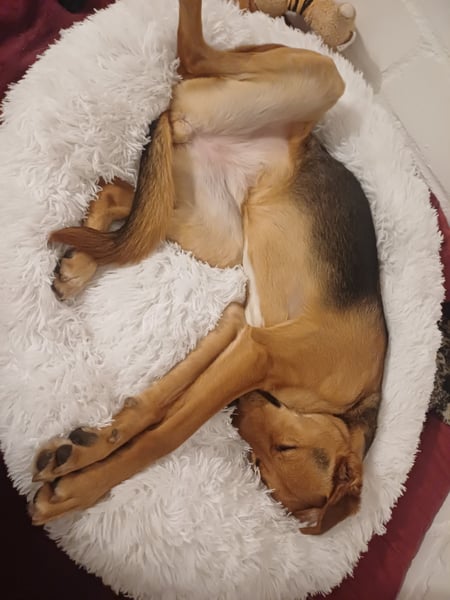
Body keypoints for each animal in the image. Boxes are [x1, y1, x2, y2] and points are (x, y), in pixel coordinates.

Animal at [30, 0, 387, 534]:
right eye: (284, 448)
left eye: (262, 461)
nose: (237, 415)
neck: (346, 408)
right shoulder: (257, 354)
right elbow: (166, 434)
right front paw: (79, 491)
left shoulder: (238, 330)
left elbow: (154, 406)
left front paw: (86, 449)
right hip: (320, 77)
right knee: (193, 52)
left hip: (213, 232)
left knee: (122, 195)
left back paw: (77, 264)